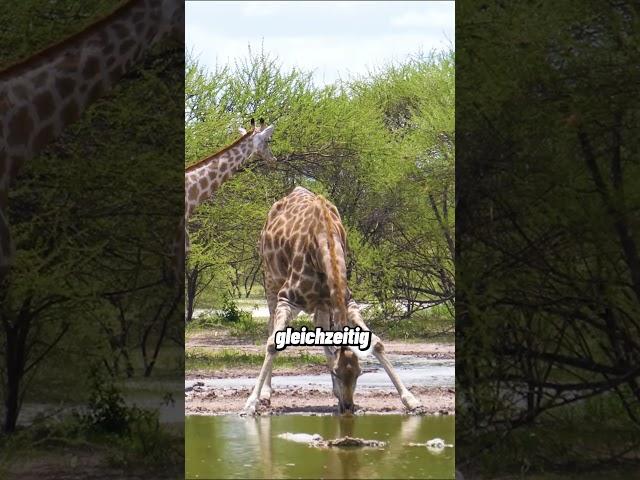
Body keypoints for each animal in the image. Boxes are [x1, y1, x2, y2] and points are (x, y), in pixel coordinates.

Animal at [242, 188, 422, 416]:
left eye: (359, 373)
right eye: (336, 372)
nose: (348, 406)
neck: (323, 239)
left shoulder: (346, 301)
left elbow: (376, 343)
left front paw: (411, 399)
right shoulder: (288, 298)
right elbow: (274, 343)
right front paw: (250, 404)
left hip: (321, 304)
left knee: (323, 336)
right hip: (270, 281)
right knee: (270, 327)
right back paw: (266, 394)